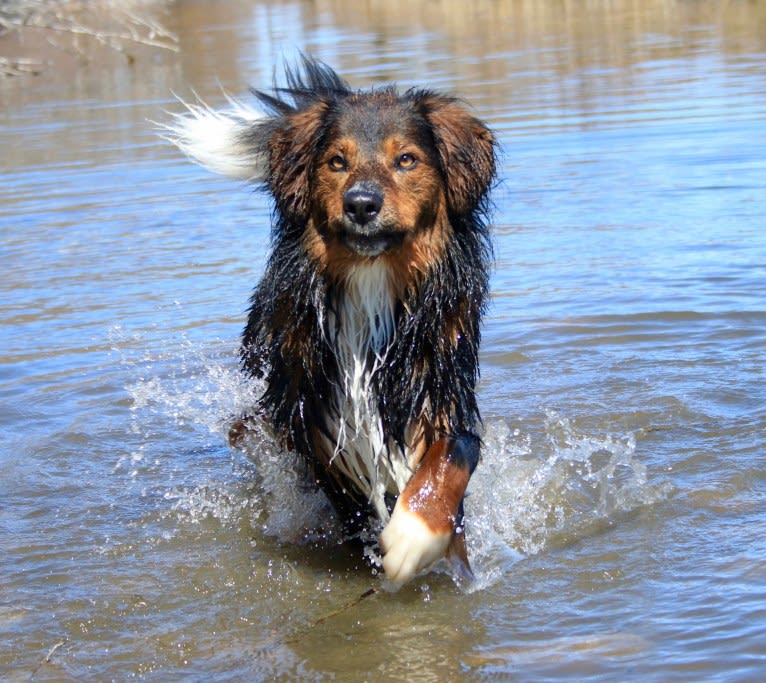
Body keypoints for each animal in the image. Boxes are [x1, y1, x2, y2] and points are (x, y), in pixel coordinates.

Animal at [164, 56, 498, 584]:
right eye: (337, 162)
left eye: (406, 159)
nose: (361, 204)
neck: (372, 284)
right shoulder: (319, 424)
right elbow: (357, 513)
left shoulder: (442, 390)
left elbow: (453, 460)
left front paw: (417, 537)